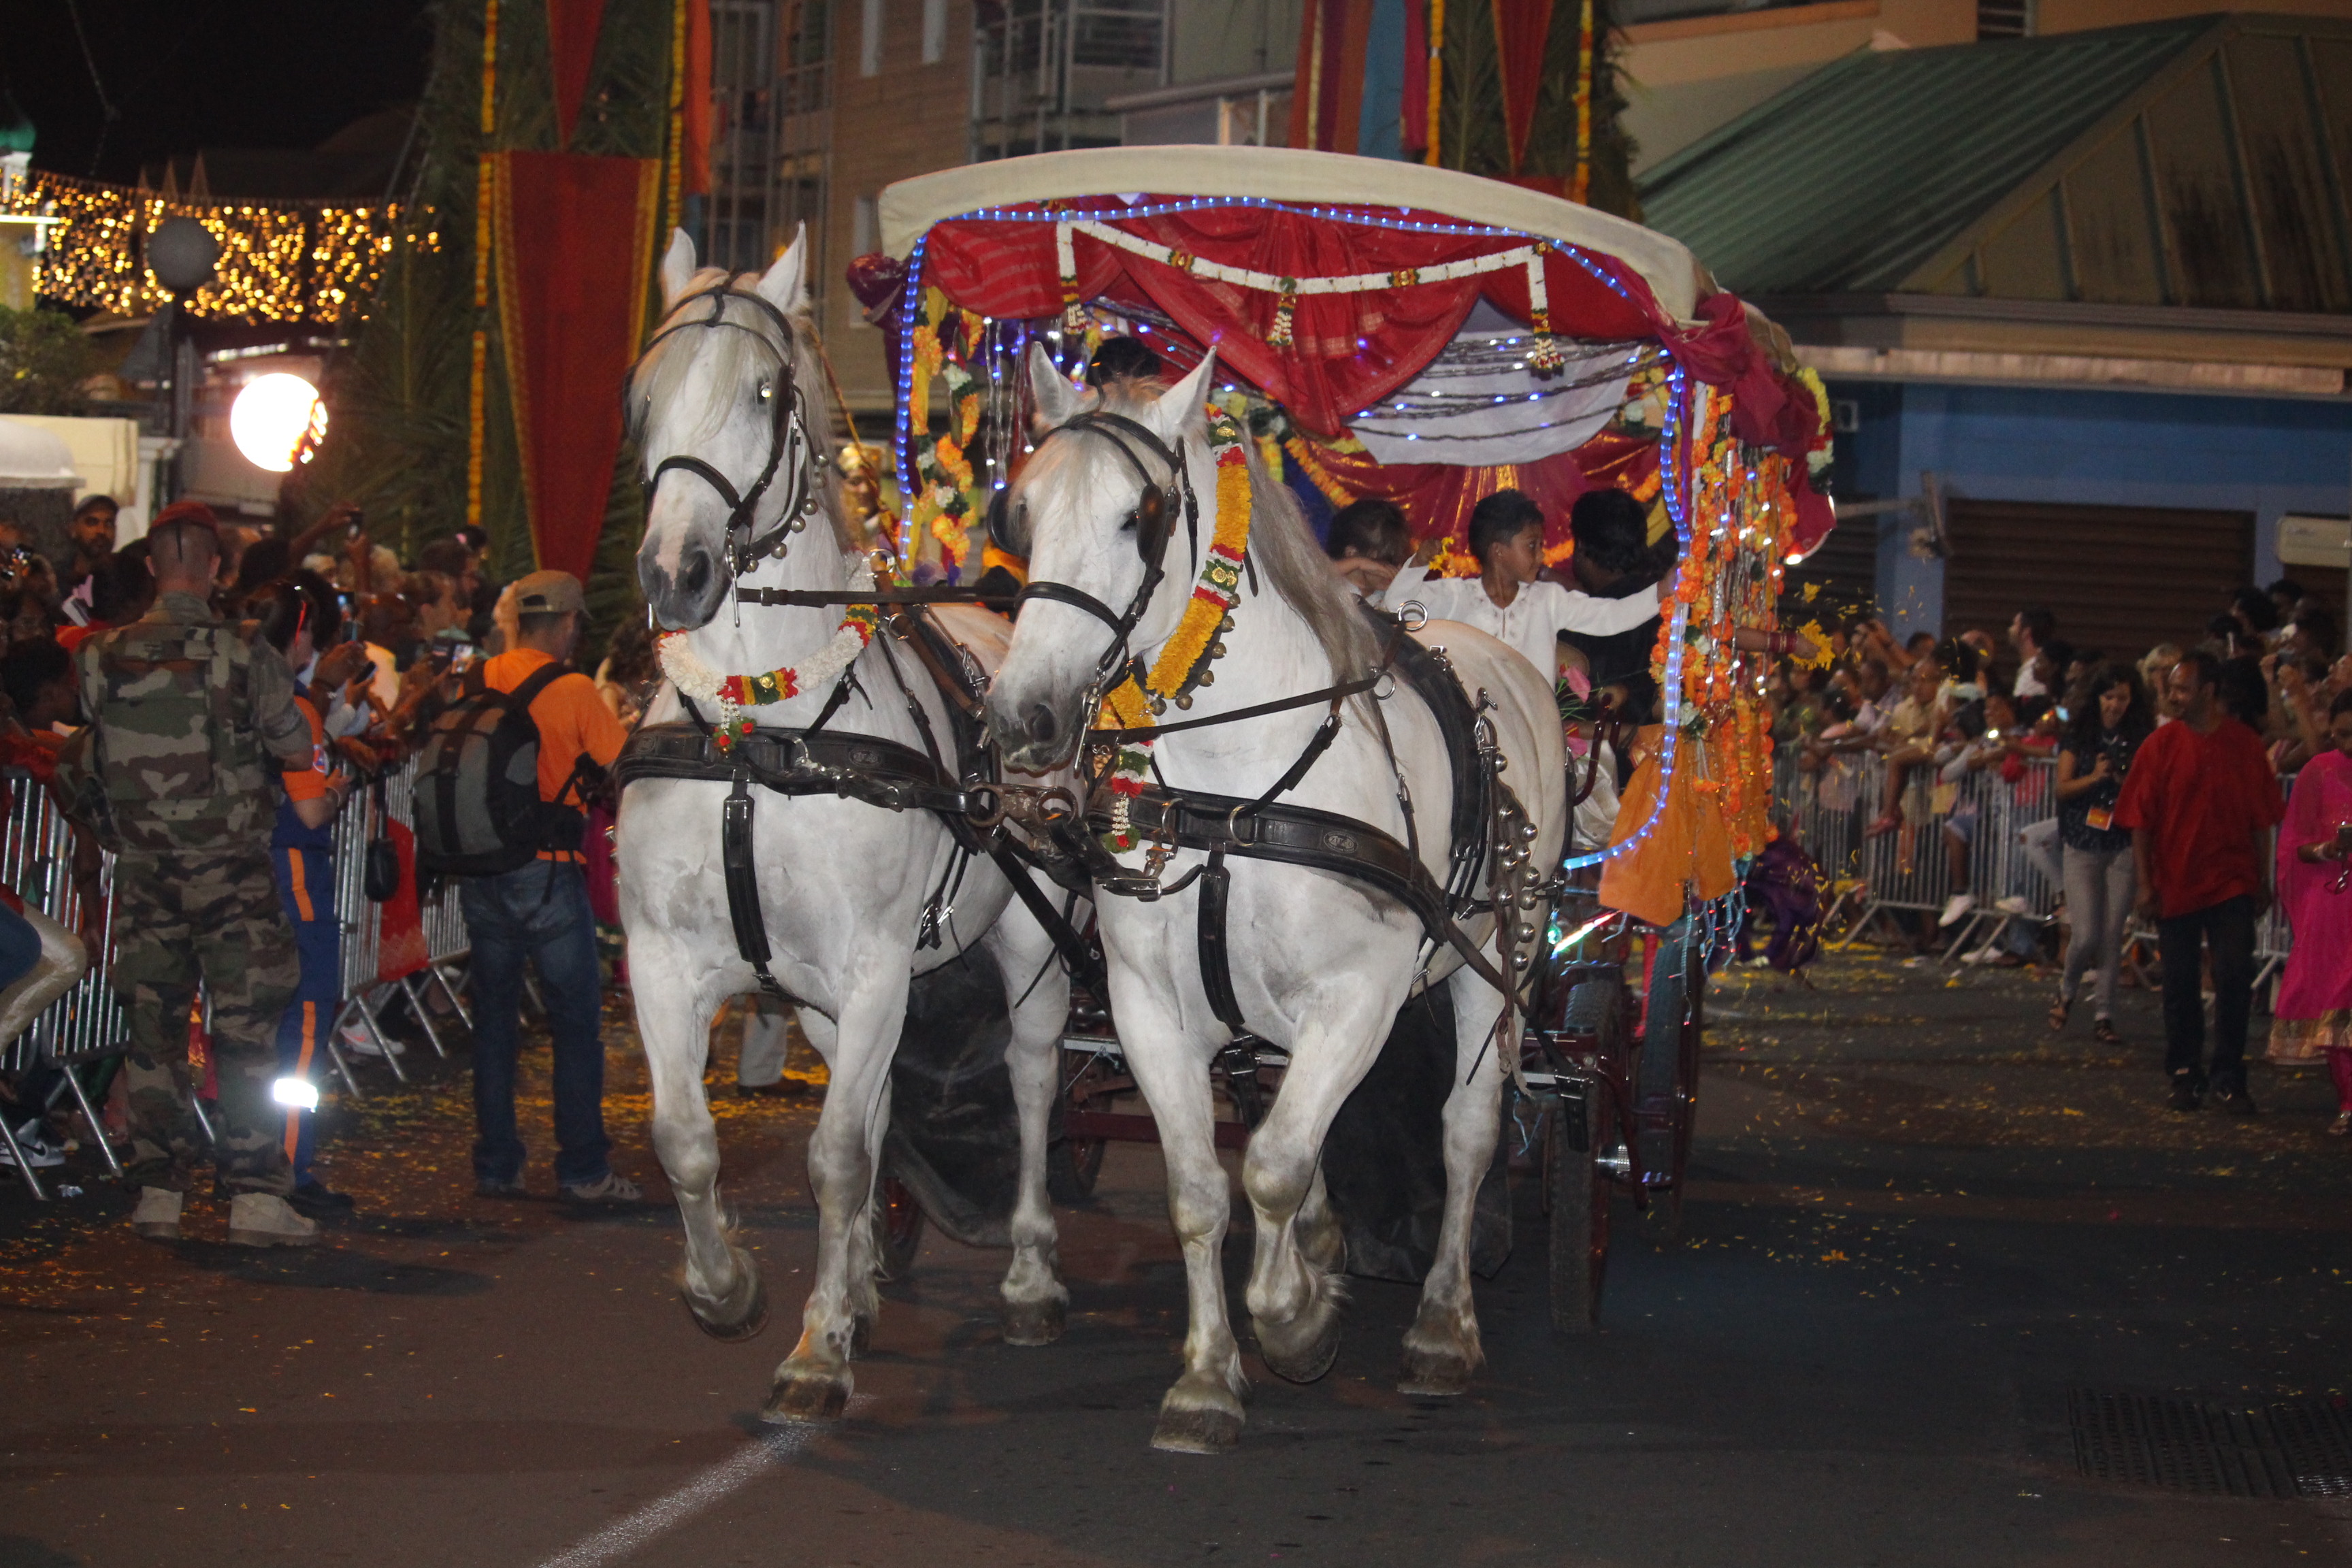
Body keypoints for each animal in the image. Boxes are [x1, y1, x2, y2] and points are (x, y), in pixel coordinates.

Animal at [616, 232, 1077, 1420]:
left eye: (763, 392)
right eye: (644, 396)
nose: (675, 573)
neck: (755, 733)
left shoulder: (873, 966)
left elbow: (831, 1159)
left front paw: (816, 1355)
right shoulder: (665, 957)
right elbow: (688, 1139)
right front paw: (729, 1289)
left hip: (1033, 947)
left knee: (1034, 1079)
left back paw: (1029, 1273)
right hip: (832, 998)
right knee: (869, 1118)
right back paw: (862, 1281)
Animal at [983, 345, 1571, 1457]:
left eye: (1138, 516)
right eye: (1021, 513)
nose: (1022, 718)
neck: (1236, 800)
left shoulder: (1361, 994)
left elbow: (1274, 1165)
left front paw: (1293, 1323)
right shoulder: (1151, 1009)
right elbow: (1203, 1187)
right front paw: (1209, 1377)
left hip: (1493, 952)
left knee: (1467, 1130)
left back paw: (1442, 1328)